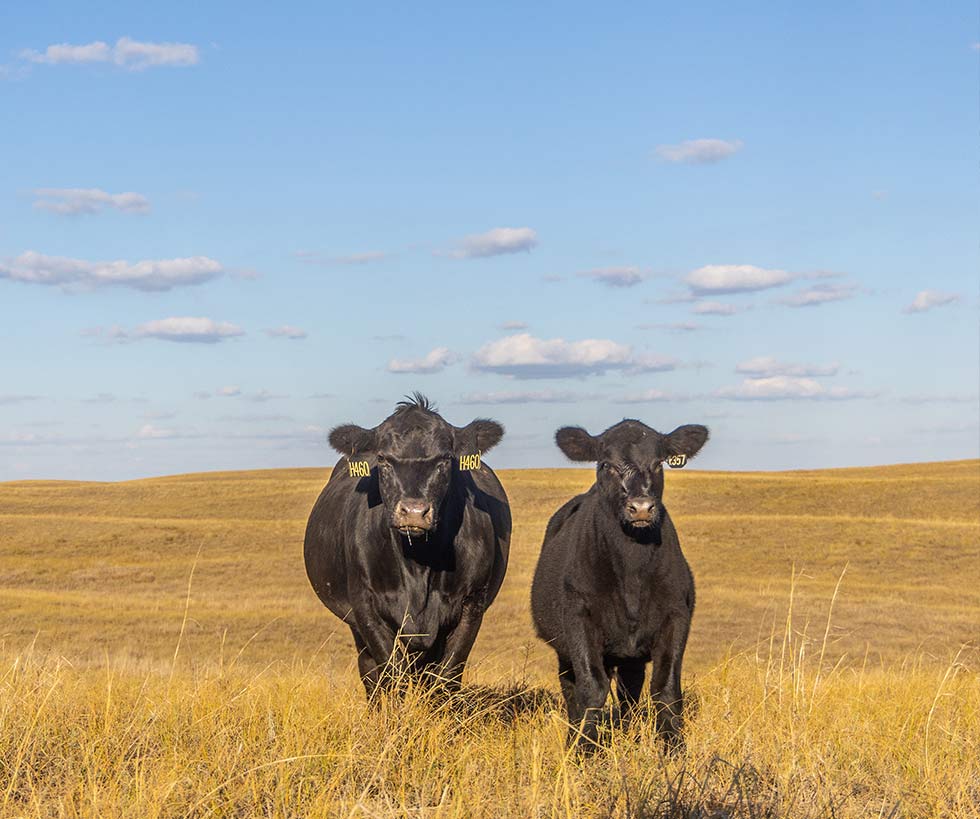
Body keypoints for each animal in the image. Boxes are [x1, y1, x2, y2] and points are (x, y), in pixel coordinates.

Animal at [306, 396, 510, 700]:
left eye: (444, 460)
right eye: (383, 459)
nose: (414, 512)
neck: (418, 564)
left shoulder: (472, 605)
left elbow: (445, 678)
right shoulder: (365, 607)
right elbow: (392, 676)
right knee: (371, 673)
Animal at [532, 422, 708, 748]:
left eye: (659, 463)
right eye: (606, 465)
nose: (641, 507)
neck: (632, 573)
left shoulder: (675, 616)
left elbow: (666, 688)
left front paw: (674, 749)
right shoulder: (579, 618)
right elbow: (591, 688)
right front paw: (583, 750)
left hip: (630, 655)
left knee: (630, 691)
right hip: (564, 648)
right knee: (571, 688)